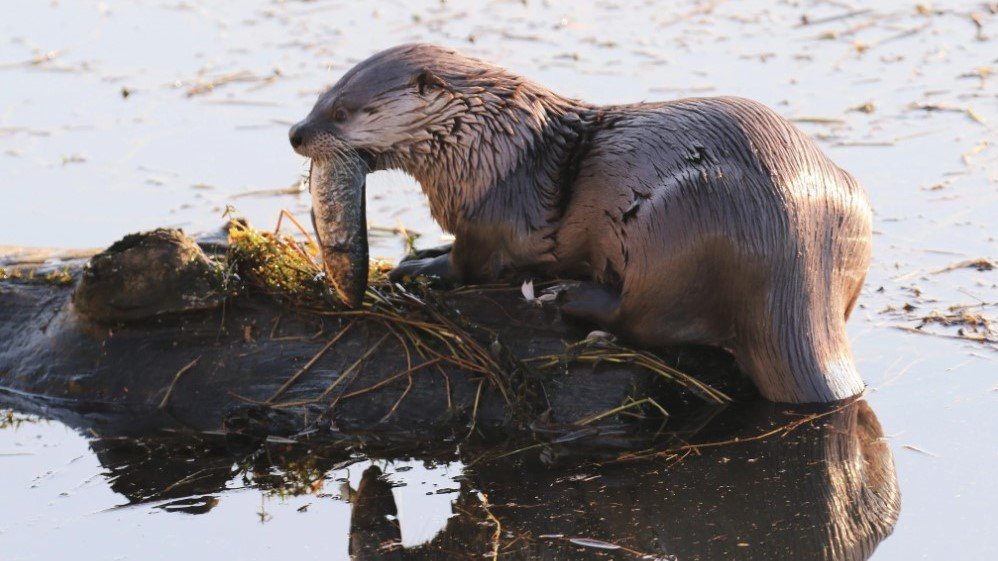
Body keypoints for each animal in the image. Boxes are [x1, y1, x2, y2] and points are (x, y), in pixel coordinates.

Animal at [289, 44, 873, 404]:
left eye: (342, 112)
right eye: (319, 96)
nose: (296, 132)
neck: (488, 148)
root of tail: (797, 262)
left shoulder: (490, 217)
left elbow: (471, 263)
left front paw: (422, 267)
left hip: (681, 226)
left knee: (644, 321)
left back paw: (573, 298)